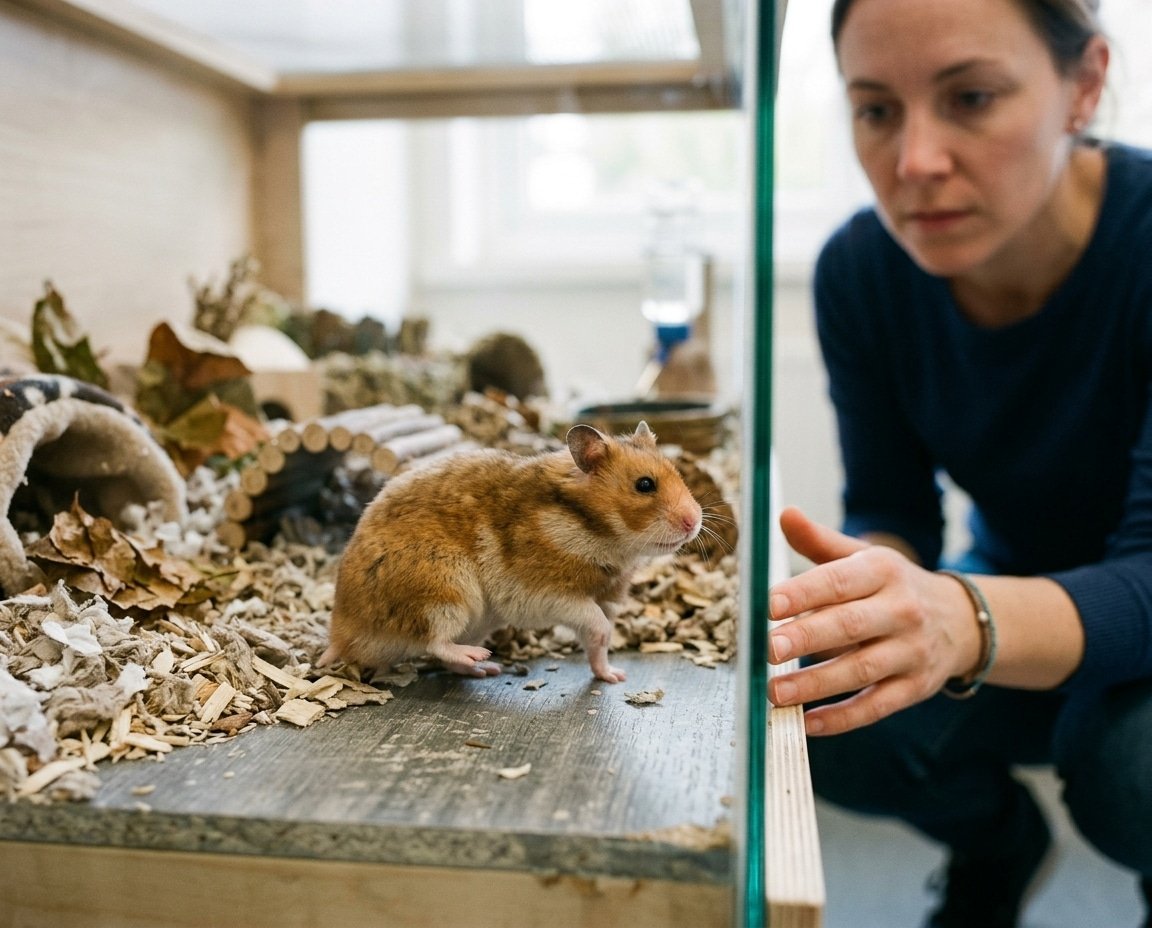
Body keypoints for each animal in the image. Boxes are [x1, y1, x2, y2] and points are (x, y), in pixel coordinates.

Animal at [320, 421, 703, 683]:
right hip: (444, 590)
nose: (695, 521)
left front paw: (614, 676)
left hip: (471, 616)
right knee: (434, 642)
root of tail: (341, 635)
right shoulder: (548, 595)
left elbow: (597, 641)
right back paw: (480, 658)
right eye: (644, 485)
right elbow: (596, 625)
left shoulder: (605, 600)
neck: (598, 531)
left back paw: (484, 669)